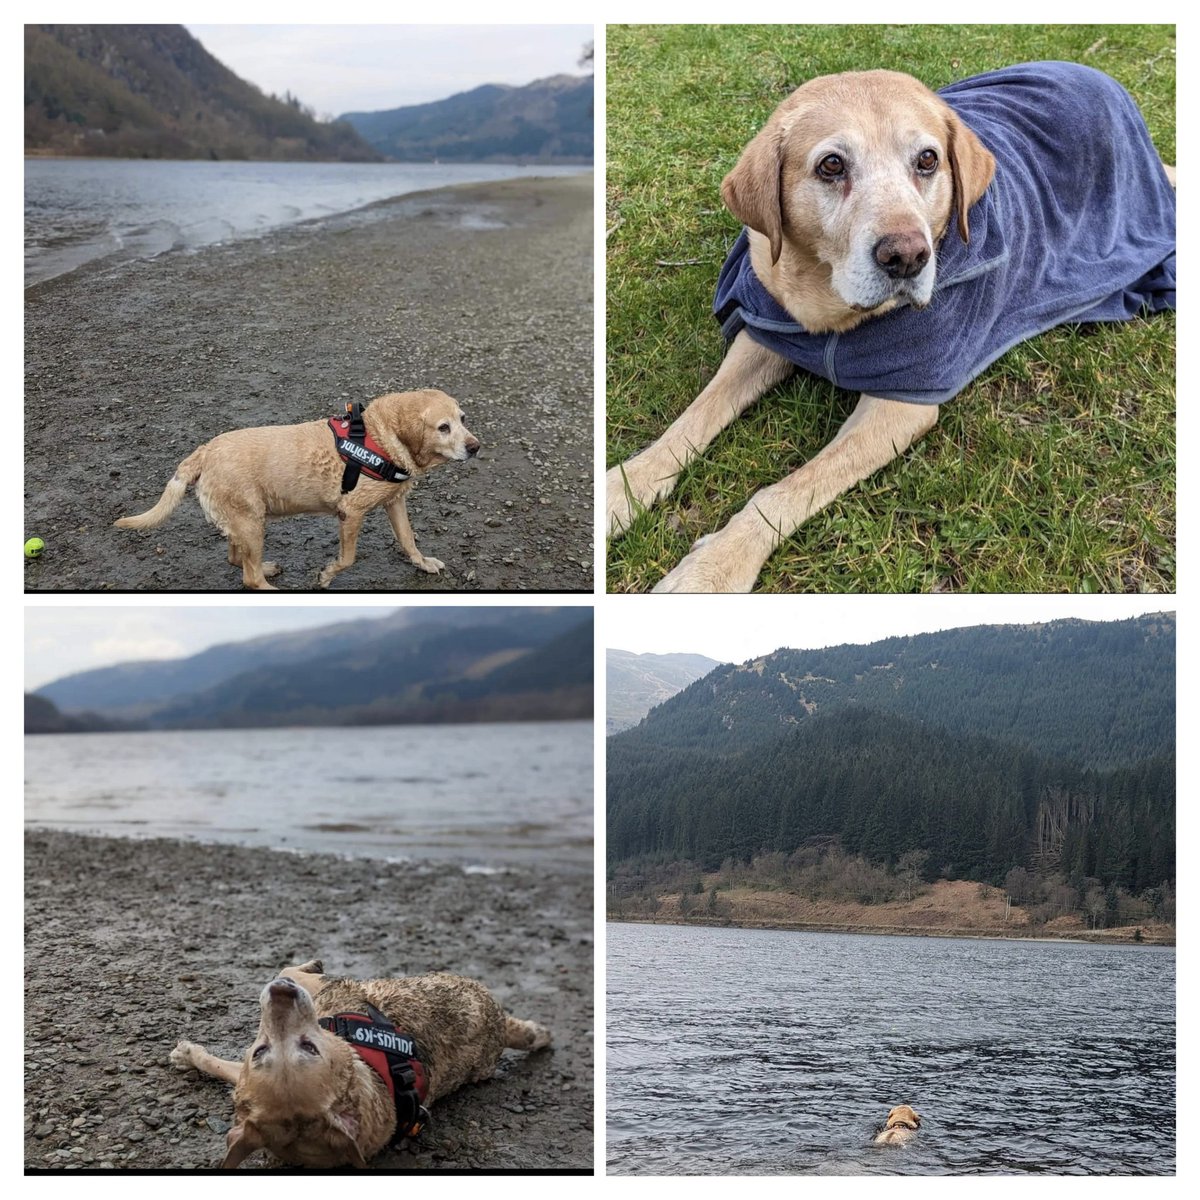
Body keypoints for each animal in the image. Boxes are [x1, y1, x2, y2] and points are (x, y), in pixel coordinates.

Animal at [114, 388, 480, 590]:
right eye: (443, 428)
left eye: (463, 419)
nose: (475, 447)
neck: (380, 434)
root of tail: (204, 451)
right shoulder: (350, 512)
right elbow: (347, 559)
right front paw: (327, 575)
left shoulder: (395, 502)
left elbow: (408, 541)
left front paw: (423, 563)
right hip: (251, 522)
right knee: (249, 577)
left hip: (246, 521)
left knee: (237, 559)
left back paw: (264, 567)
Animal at [170, 960, 552, 1166]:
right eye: (261, 1051)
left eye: (310, 1048)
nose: (281, 993)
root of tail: (500, 1024)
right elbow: (221, 1065)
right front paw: (190, 1056)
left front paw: (189, 1055)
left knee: (298, 971)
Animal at [604, 65, 1176, 590]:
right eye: (832, 165)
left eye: (927, 160)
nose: (907, 257)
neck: (832, 309)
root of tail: (1099, 79)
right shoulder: (762, 334)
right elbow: (691, 420)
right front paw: (623, 488)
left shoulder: (898, 408)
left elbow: (789, 489)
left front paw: (716, 566)